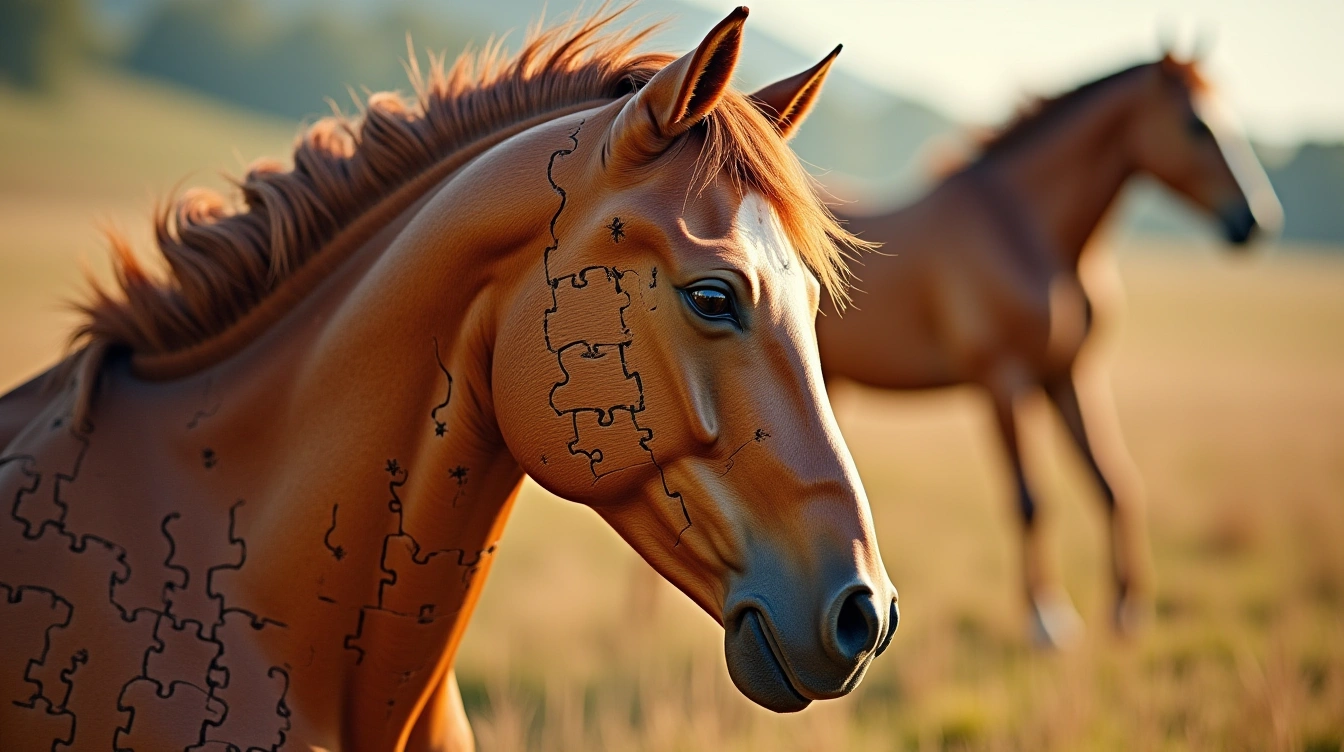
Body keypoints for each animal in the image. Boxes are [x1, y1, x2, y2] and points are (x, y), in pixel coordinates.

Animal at [804, 53, 1282, 646]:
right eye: (1197, 124)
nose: (1254, 221)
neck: (1026, 227)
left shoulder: (1068, 375)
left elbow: (1112, 482)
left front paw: (1127, 611)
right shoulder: (1004, 381)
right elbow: (1030, 500)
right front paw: (1047, 621)